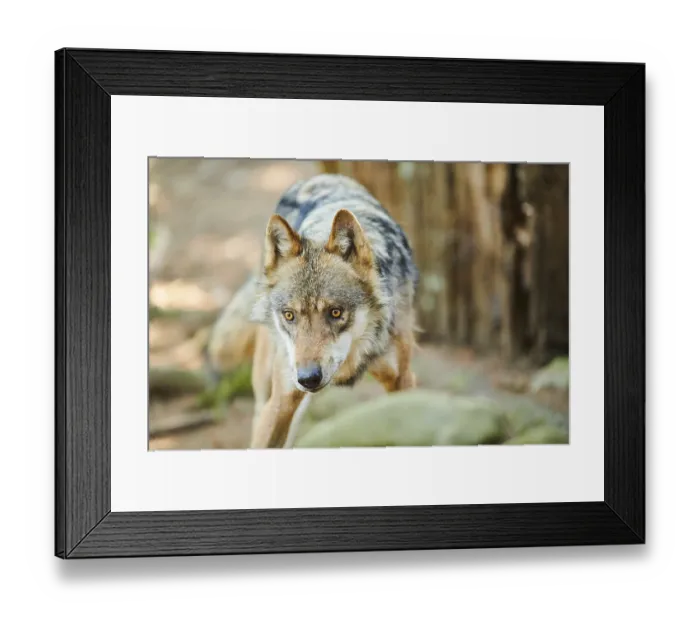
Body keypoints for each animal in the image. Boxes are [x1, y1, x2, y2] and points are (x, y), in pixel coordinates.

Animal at [206, 173, 420, 449]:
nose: (308, 378)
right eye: (289, 315)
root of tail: (322, 176)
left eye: (336, 312)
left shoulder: (402, 382)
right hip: (269, 387)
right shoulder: (282, 400)